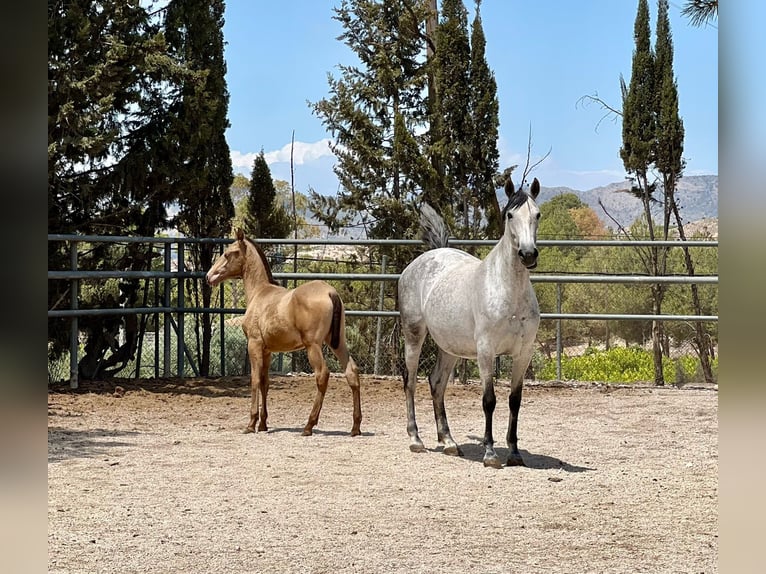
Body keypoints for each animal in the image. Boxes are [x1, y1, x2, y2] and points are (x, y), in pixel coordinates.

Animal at [207, 230, 364, 436]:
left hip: (313, 346)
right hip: (337, 343)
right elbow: (265, 382)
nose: (209, 276)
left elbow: (255, 380)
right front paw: (263, 424)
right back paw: (355, 427)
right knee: (351, 372)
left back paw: (308, 426)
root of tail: (331, 293)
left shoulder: (254, 345)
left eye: (227, 254)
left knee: (322, 375)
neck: (259, 293)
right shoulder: (267, 350)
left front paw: (251, 424)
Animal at [400, 181, 544, 472]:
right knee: (410, 381)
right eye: (510, 215)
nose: (527, 254)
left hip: (449, 347)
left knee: (436, 383)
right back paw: (416, 439)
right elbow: (489, 401)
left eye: (537, 214)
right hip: (414, 335)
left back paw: (449, 442)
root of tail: (428, 256)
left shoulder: (523, 354)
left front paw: (515, 453)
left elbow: (515, 401)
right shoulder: (486, 352)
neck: (508, 290)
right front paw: (490, 454)